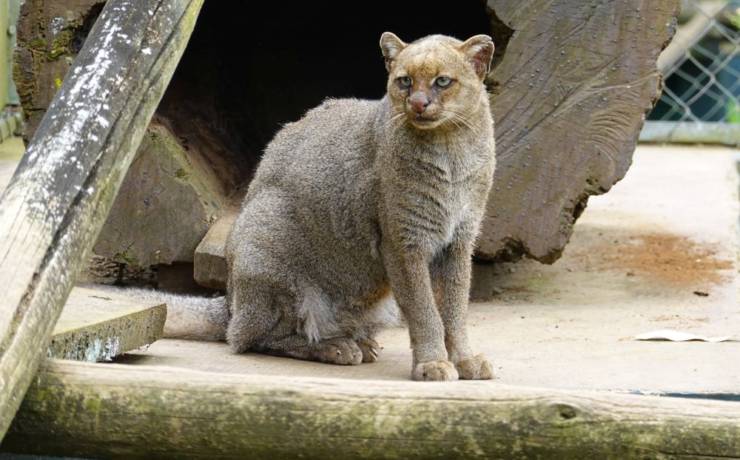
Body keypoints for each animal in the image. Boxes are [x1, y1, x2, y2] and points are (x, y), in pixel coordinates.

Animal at [162, 31, 498, 380]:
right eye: (404, 81)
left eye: (443, 81)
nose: (418, 103)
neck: (452, 151)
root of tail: (229, 301)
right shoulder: (405, 243)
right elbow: (424, 310)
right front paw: (433, 363)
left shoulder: (459, 239)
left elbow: (455, 309)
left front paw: (464, 359)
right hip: (266, 240)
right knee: (249, 337)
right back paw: (335, 347)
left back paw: (358, 342)